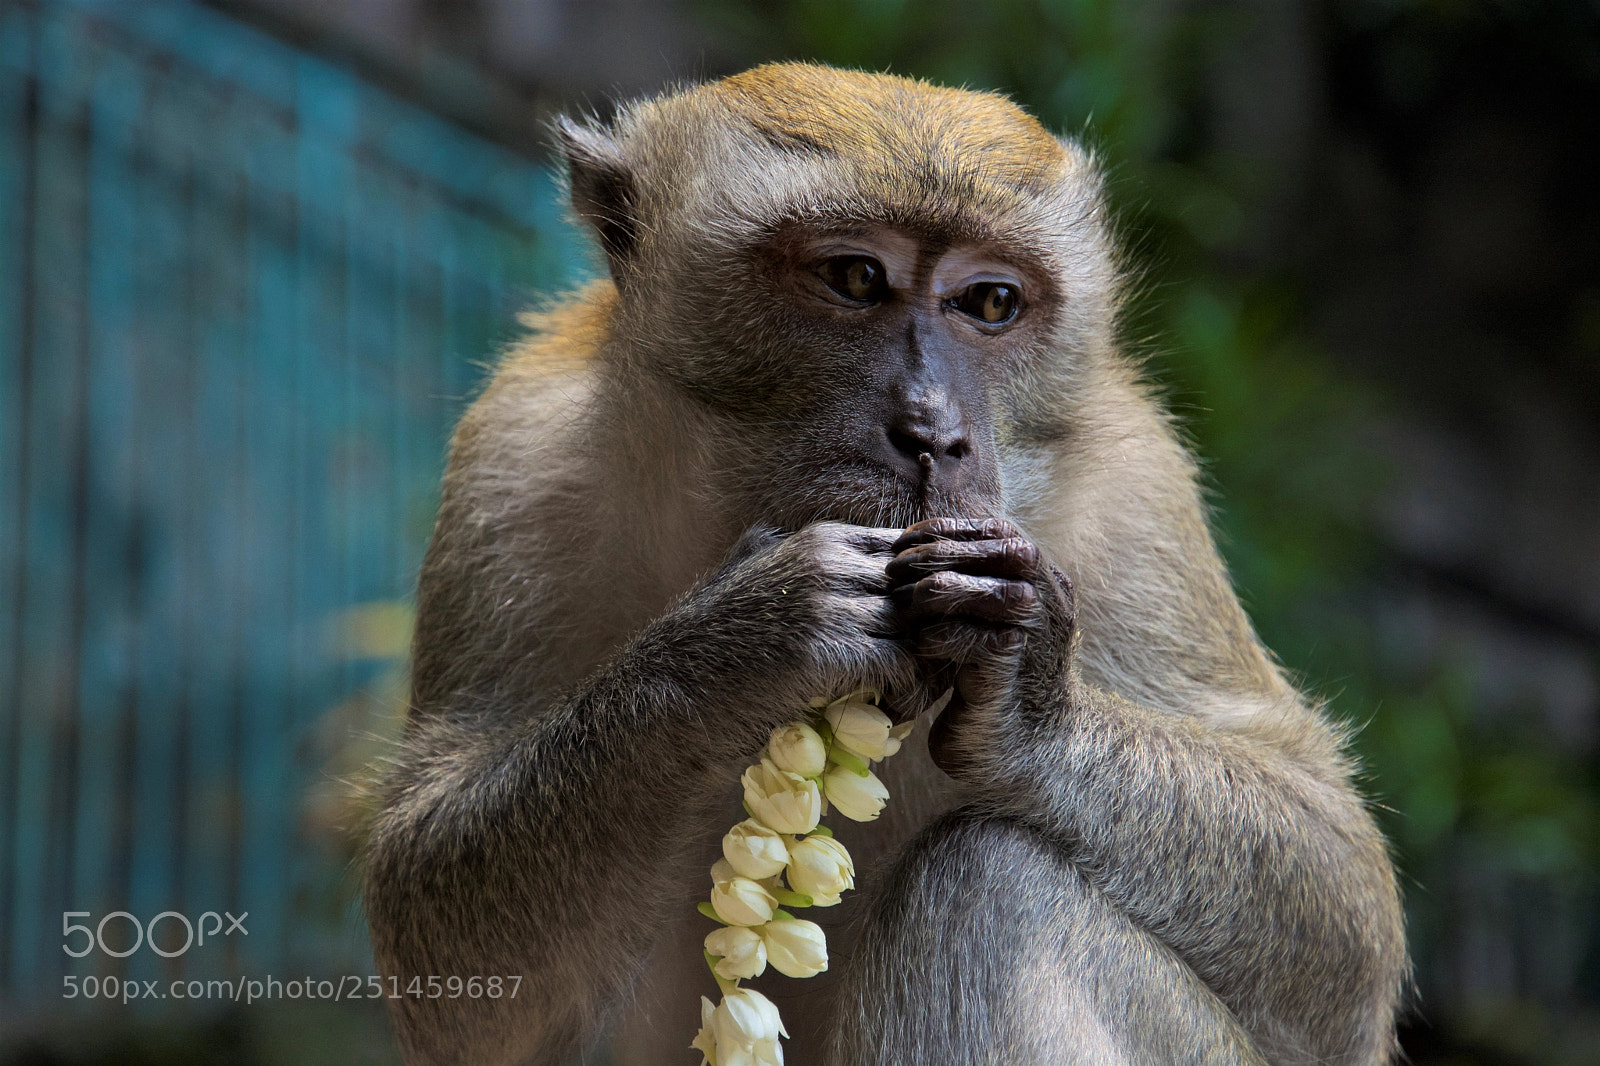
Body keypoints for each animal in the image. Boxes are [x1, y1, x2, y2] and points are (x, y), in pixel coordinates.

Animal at [361, 63, 1407, 1066]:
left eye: (990, 301)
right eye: (856, 278)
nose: (935, 431)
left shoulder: (1138, 494)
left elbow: (1341, 900)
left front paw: (1029, 690)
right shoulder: (516, 457)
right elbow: (456, 973)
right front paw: (749, 639)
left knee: (990, 883)